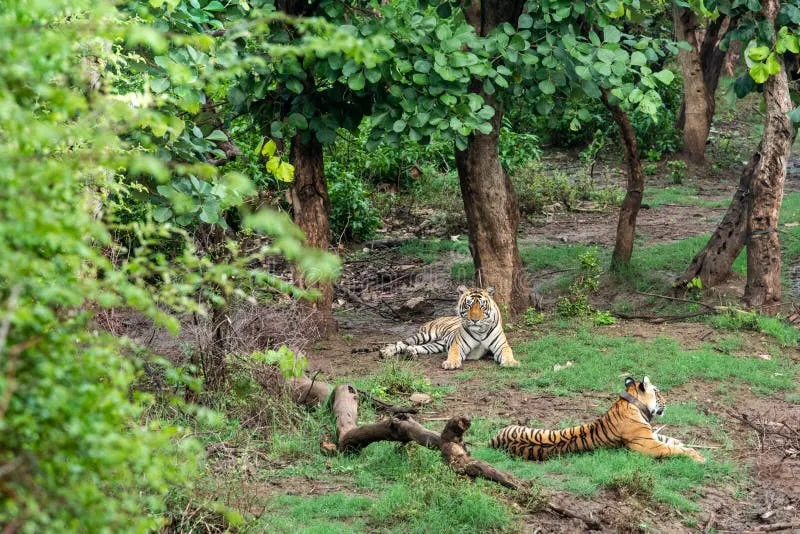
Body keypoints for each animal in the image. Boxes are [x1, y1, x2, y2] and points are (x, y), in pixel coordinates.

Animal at [376, 286, 520, 370]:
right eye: (468, 305)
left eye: (482, 306)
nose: (474, 320)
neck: (479, 331)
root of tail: (436, 318)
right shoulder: (458, 344)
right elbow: (453, 353)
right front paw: (451, 363)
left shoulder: (501, 345)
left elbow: (508, 352)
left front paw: (511, 362)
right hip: (425, 335)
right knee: (402, 343)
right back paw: (386, 352)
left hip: (437, 345)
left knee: (419, 347)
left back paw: (410, 352)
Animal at [488, 376, 708, 464]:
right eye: (658, 392)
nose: (667, 402)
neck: (632, 403)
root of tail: (493, 441)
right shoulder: (647, 445)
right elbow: (673, 449)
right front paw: (699, 457)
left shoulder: (650, 436)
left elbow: (671, 441)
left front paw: (689, 446)